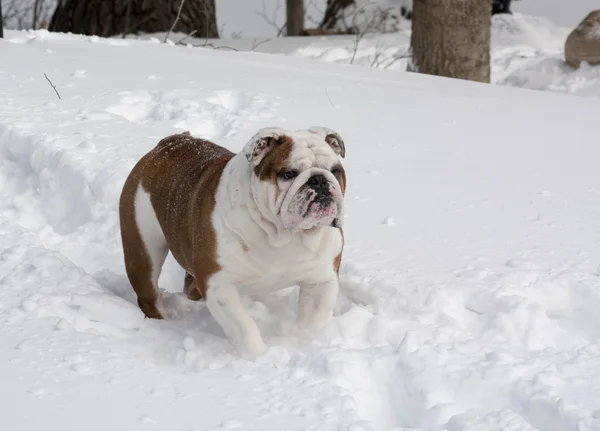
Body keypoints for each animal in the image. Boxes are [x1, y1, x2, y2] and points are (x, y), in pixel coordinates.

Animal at [119, 126, 346, 360]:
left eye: (335, 170)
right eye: (289, 173)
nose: (319, 180)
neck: (282, 235)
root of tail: (168, 143)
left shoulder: (321, 279)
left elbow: (314, 318)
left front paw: (308, 339)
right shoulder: (219, 285)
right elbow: (244, 326)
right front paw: (257, 356)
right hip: (143, 249)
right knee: (149, 294)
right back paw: (163, 323)